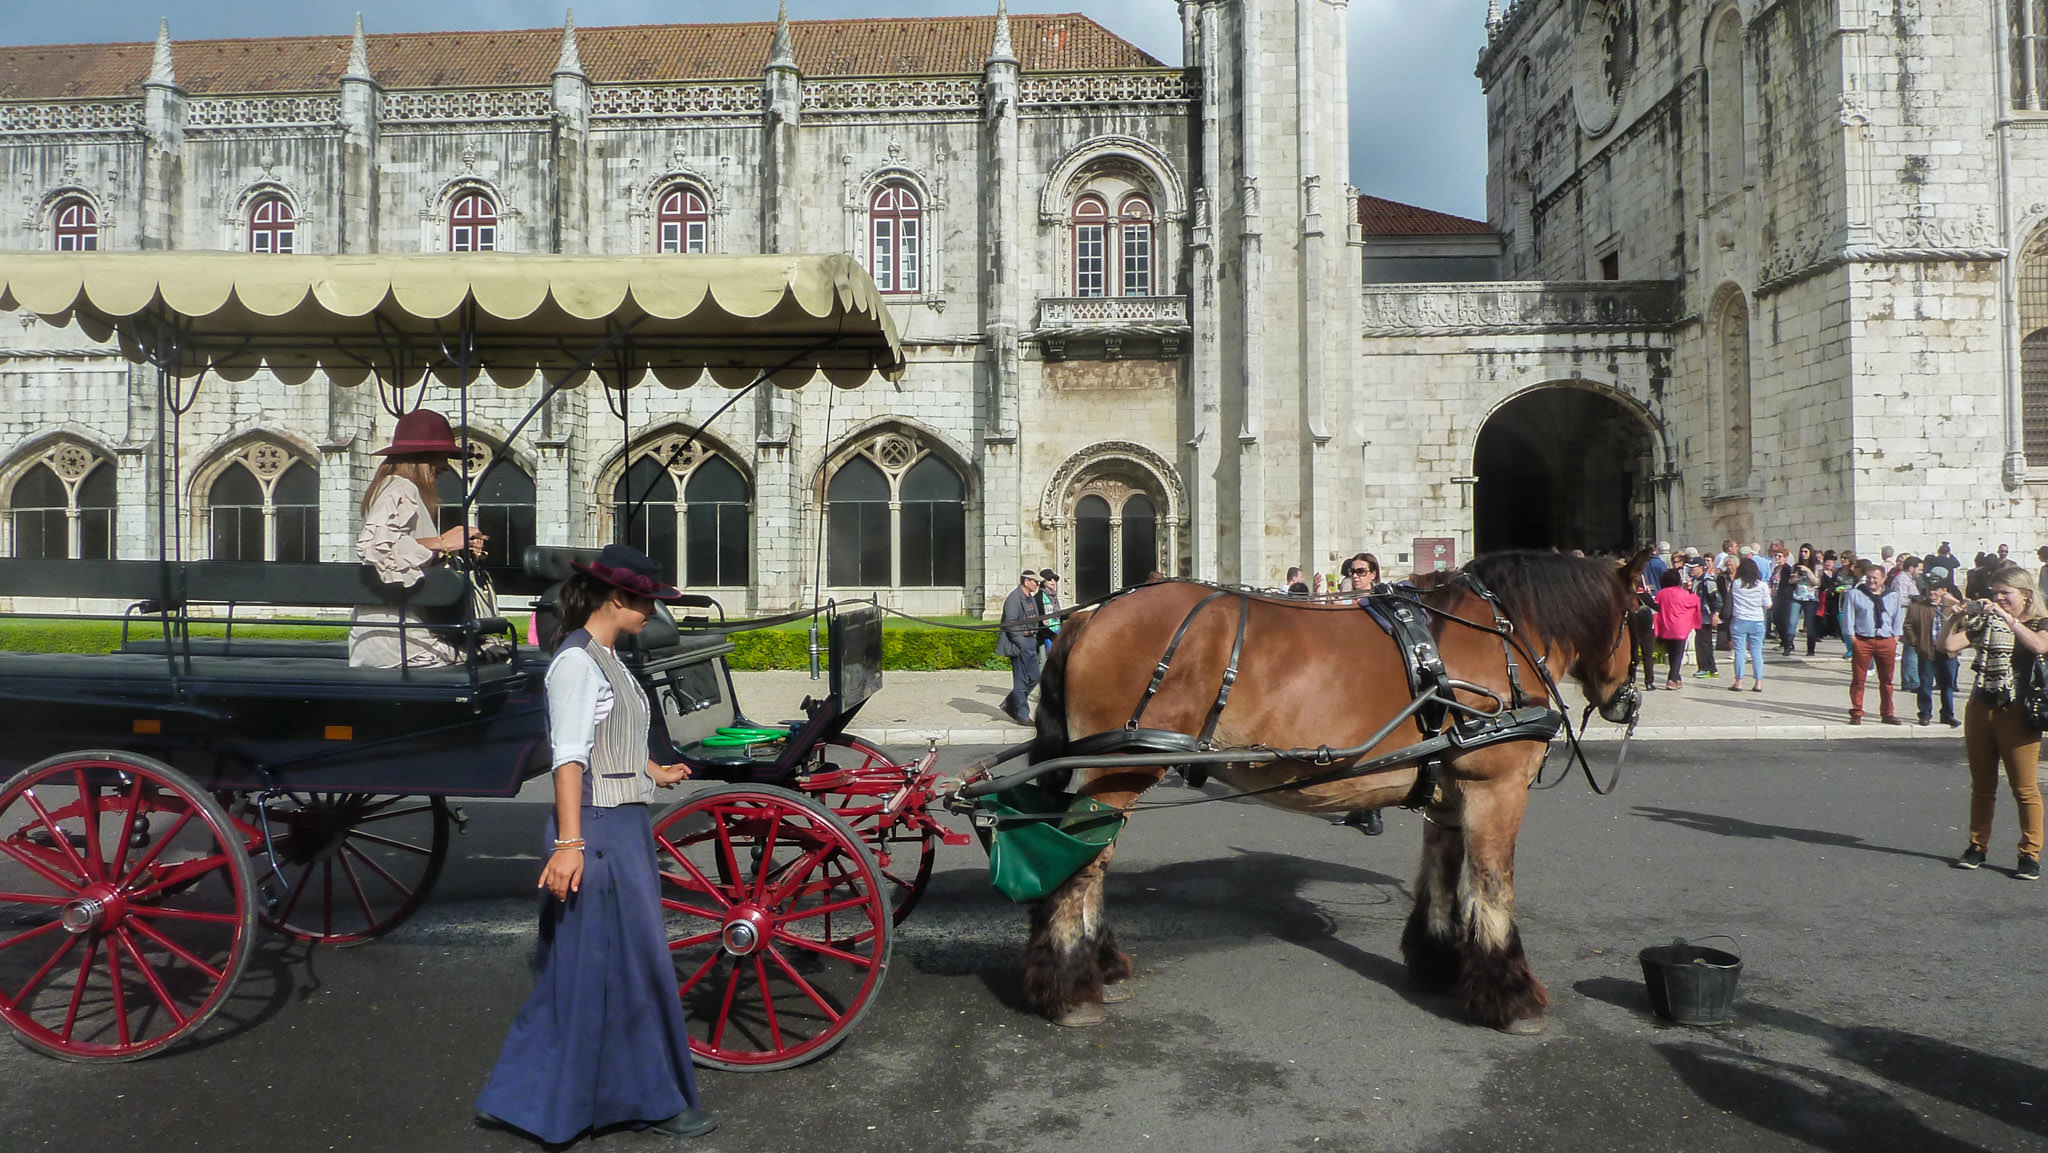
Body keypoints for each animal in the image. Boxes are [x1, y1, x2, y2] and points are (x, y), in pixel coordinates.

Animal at [1019, 552, 1646, 1032]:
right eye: (1639, 611)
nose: (1628, 703)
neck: (1502, 635)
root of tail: (1091, 615)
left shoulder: (1446, 794)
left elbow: (1443, 875)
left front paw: (1437, 962)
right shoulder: (1494, 787)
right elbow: (1493, 886)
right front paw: (1510, 994)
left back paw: (1099, 966)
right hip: (1119, 770)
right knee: (1082, 867)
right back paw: (1073, 988)